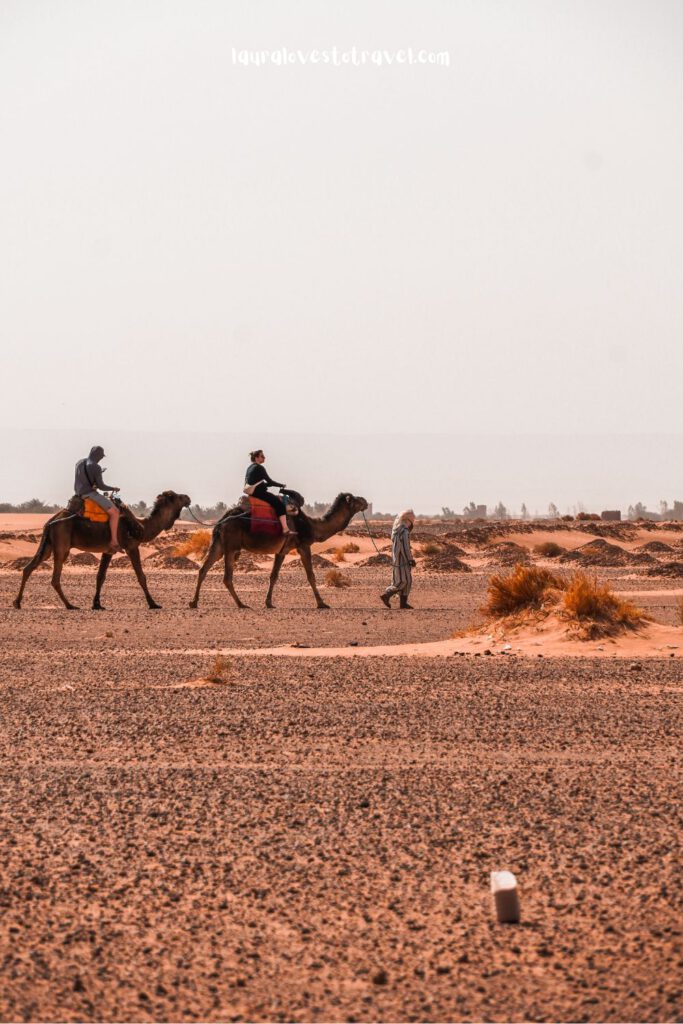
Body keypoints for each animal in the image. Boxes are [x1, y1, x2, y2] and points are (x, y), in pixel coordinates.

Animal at [14, 491, 189, 610]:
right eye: (176, 496)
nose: (188, 497)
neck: (141, 527)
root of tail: (50, 522)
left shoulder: (109, 550)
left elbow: (100, 577)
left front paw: (97, 604)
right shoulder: (131, 546)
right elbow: (141, 576)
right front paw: (153, 603)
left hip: (48, 545)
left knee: (28, 568)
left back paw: (17, 602)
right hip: (61, 544)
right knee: (55, 577)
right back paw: (70, 605)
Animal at [188, 493, 368, 610]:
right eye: (355, 499)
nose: (366, 501)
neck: (312, 525)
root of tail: (221, 521)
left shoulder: (282, 550)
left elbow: (273, 576)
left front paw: (268, 603)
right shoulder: (302, 545)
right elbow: (311, 576)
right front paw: (322, 603)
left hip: (218, 545)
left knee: (203, 570)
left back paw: (194, 602)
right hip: (231, 547)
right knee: (226, 577)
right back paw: (241, 604)